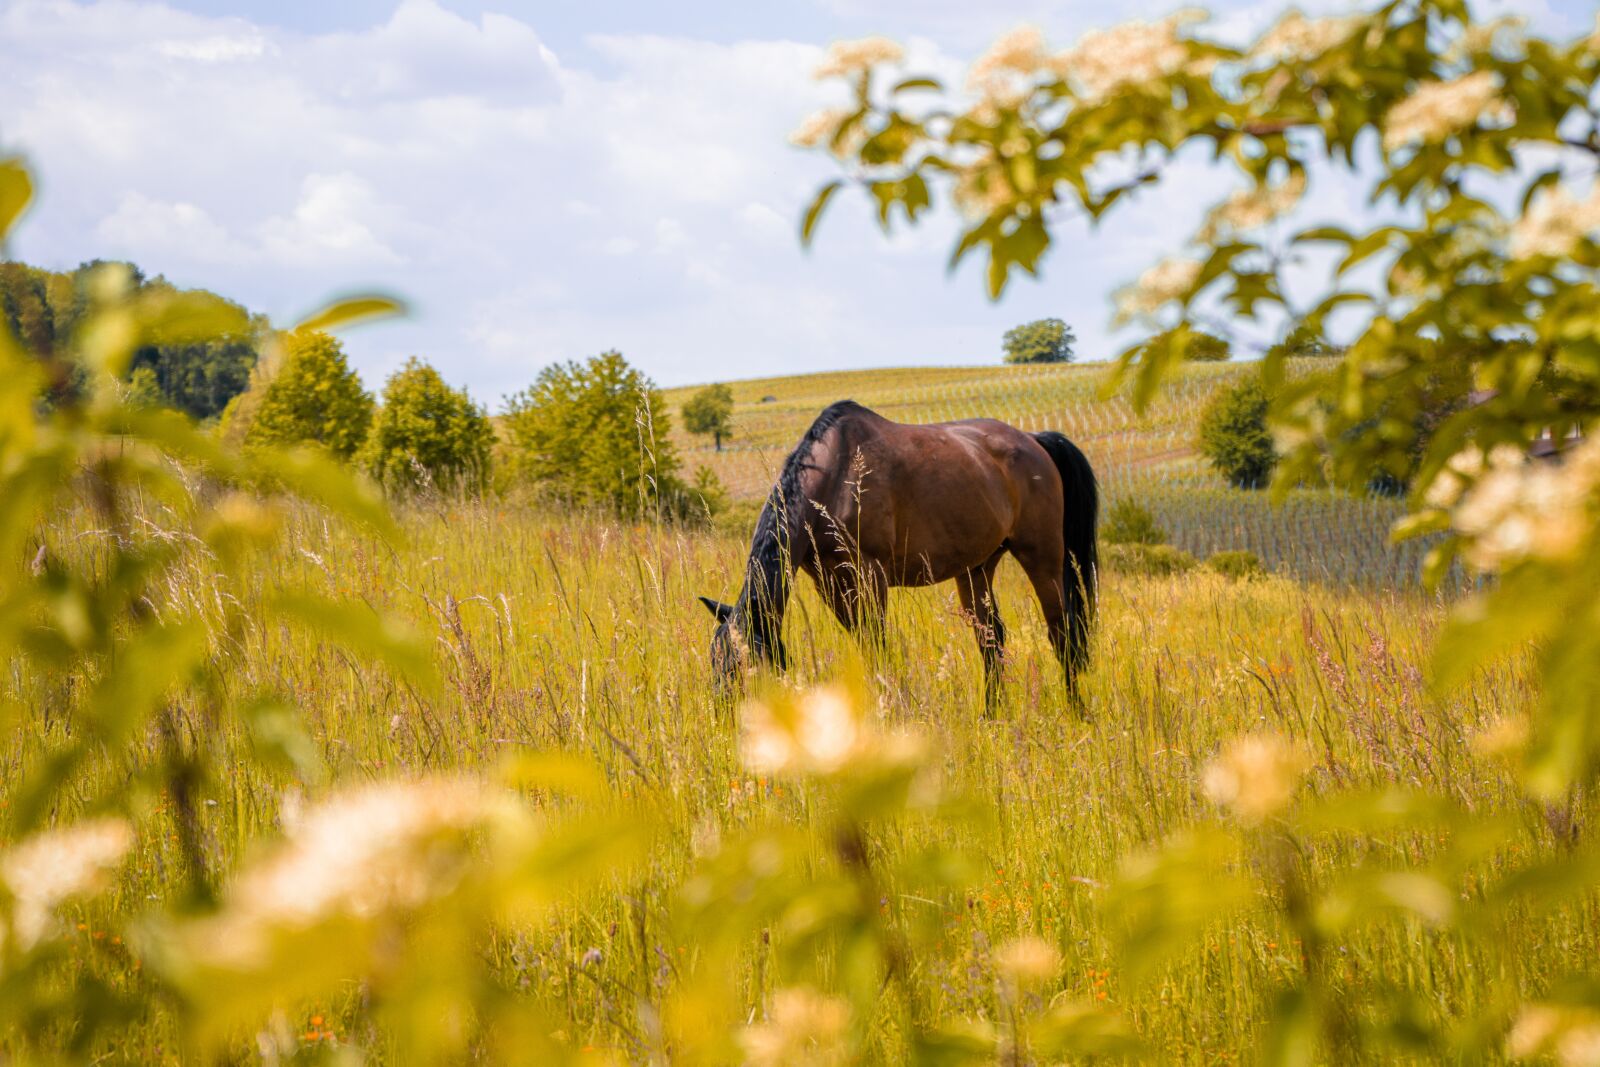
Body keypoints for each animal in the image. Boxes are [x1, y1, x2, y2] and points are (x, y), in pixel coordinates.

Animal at [700, 396, 1100, 703]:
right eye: (715, 660)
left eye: (745, 664)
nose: (725, 714)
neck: (836, 478)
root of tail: (1034, 441)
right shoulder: (831, 585)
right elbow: (864, 646)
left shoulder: (870, 576)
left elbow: (877, 647)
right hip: (977, 568)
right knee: (991, 638)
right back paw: (992, 715)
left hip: (1042, 555)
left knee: (1062, 632)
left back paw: (1075, 710)